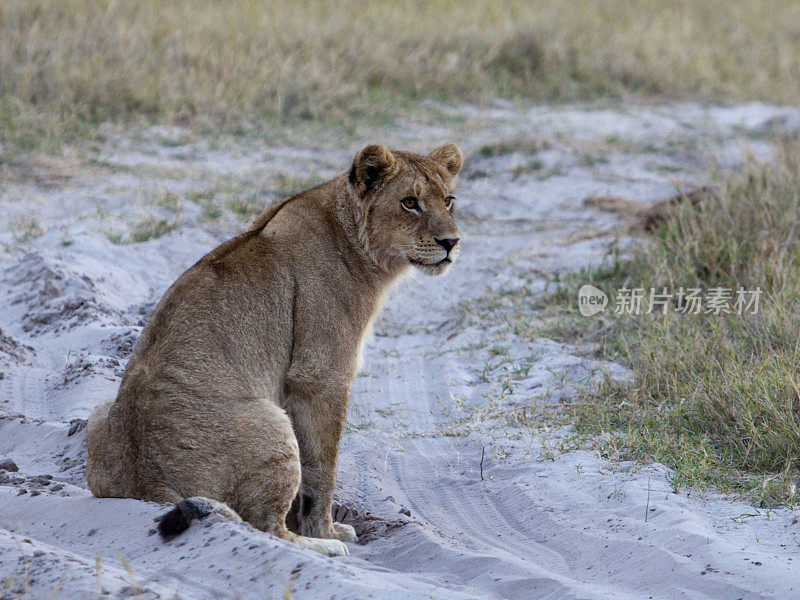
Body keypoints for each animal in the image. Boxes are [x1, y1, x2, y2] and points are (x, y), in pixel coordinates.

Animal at [86, 143, 462, 556]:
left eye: (448, 201)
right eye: (410, 202)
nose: (451, 243)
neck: (353, 238)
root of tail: (146, 483)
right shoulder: (321, 376)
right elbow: (322, 469)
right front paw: (325, 531)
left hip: (99, 413)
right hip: (270, 424)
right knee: (265, 526)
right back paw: (324, 549)